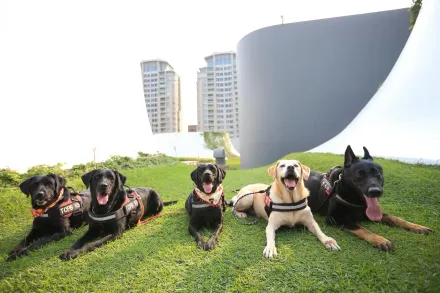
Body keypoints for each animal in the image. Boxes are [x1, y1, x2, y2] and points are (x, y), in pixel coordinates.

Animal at [304, 145, 434, 250]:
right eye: (358, 174)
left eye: (377, 173)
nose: (375, 191)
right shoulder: (334, 218)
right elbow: (361, 228)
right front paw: (380, 240)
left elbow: (394, 218)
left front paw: (418, 227)